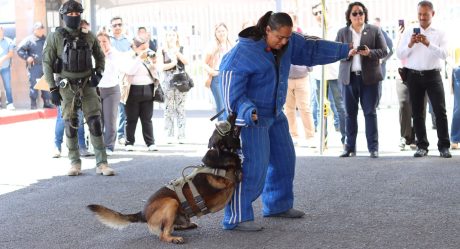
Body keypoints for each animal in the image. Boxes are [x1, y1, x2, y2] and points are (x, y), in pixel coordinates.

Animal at [87, 114, 243, 244]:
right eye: (226, 127)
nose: (232, 112)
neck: (222, 156)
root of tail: (143, 213)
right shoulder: (230, 181)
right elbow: (239, 174)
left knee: (170, 227)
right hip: (171, 202)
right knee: (163, 234)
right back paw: (174, 238)